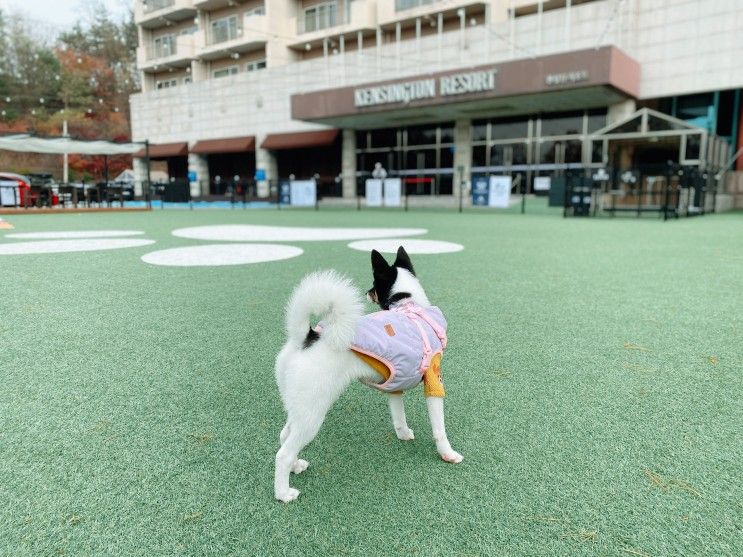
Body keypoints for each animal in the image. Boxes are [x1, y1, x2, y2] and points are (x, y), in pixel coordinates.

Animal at [272, 245, 460, 502]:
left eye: (373, 284)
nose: (367, 292)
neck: (408, 305)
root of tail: (306, 337)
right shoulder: (433, 381)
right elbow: (439, 428)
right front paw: (447, 454)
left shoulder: (395, 385)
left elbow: (398, 417)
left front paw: (403, 434)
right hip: (313, 413)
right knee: (283, 453)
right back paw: (283, 493)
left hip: (301, 405)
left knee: (284, 436)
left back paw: (296, 466)